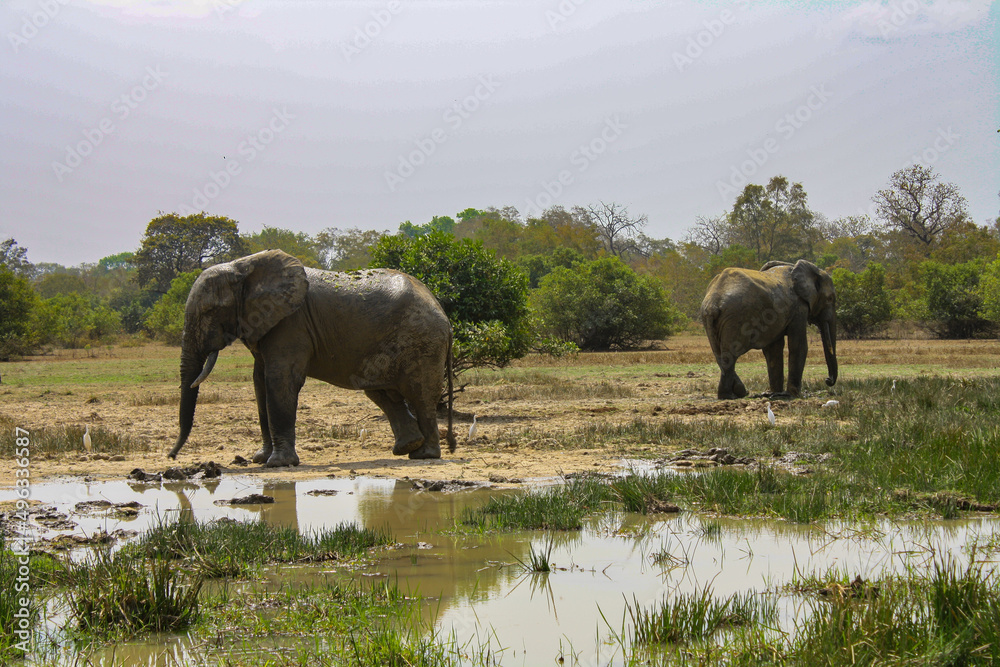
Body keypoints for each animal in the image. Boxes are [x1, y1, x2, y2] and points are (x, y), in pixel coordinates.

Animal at [167, 249, 454, 467]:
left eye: (209, 311)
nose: (171, 456)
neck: (243, 266)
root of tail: (442, 311)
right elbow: (259, 383)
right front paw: (260, 459)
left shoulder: (291, 323)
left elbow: (280, 380)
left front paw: (278, 463)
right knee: (381, 392)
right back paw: (407, 447)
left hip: (422, 342)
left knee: (419, 394)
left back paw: (424, 454)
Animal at [699, 259, 838, 400]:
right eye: (830, 298)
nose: (828, 380)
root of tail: (713, 303)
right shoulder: (799, 307)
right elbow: (798, 345)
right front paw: (793, 395)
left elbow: (773, 350)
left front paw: (774, 393)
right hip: (735, 318)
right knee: (730, 355)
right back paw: (729, 396)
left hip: (710, 319)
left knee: (720, 354)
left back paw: (739, 393)